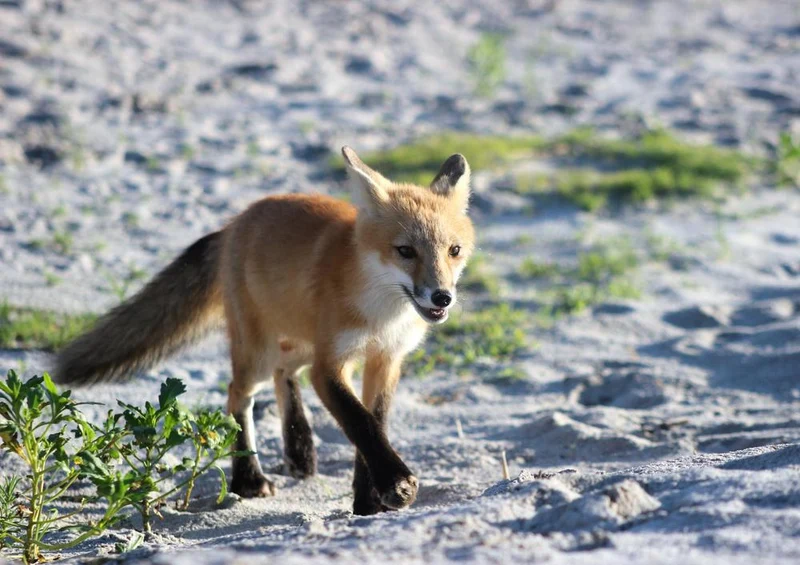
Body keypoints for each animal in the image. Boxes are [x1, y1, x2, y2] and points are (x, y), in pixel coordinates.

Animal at [54, 147, 475, 515]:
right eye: (405, 251)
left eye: (453, 251)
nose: (442, 297)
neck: (382, 315)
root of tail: (233, 224)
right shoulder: (330, 364)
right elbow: (361, 423)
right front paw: (395, 485)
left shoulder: (385, 359)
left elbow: (374, 425)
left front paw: (369, 502)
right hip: (261, 351)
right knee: (238, 394)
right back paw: (248, 479)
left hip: (300, 341)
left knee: (283, 374)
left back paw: (299, 450)